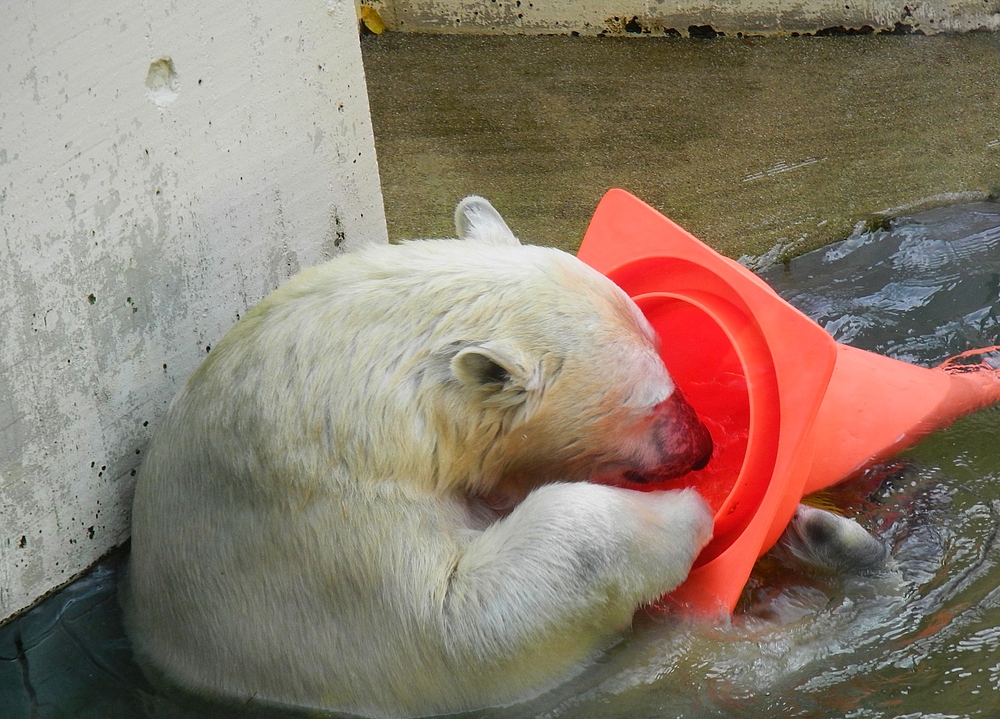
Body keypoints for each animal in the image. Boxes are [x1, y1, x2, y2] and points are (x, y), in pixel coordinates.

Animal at [125, 197, 716, 719]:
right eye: (651, 396)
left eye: (662, 348)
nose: (704, 445)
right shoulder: (329, 536)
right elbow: (457, 628)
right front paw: (683, 515)